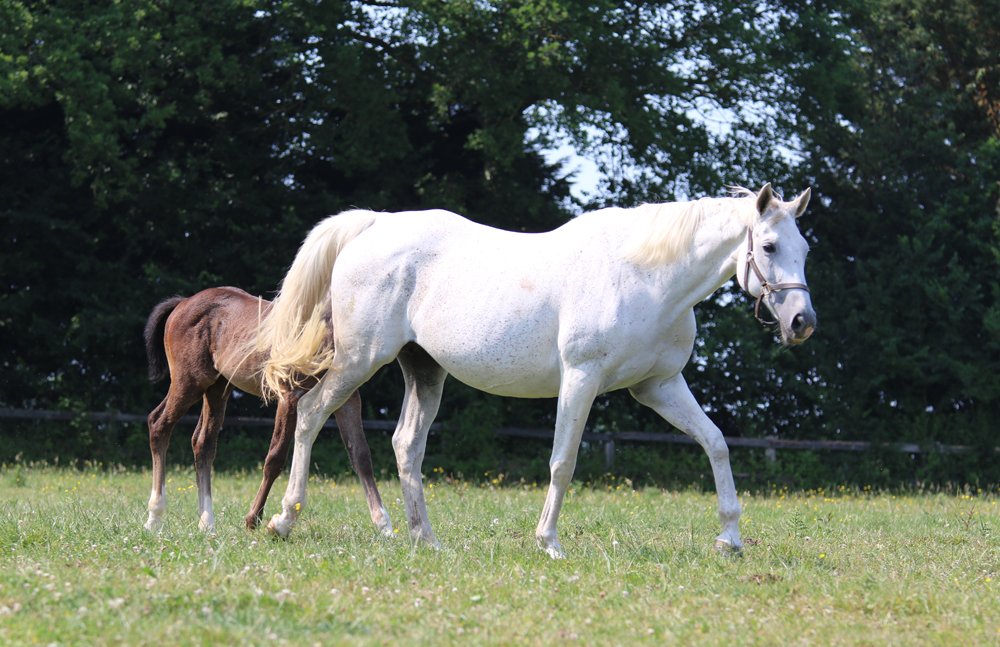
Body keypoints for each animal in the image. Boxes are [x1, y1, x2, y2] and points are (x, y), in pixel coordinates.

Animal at [142, 286, 392, 535]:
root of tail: (183, 302)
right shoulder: (289, 396)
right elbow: (275, 457)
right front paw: (253, 518)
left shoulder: (348, 399)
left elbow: (361, 456)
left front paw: (384, 525)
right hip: (190, 382)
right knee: (158, 424)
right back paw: (154, 517)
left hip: (217, 387)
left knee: (203, 443)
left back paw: (207, 523)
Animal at [255, 183, 815, 557]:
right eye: (768, 246)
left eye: (804, 249)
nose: (801, 322)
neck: (645, 276)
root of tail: (373, 223)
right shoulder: (582, 380)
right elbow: (562, 462)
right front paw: (549, 542)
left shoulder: (658, 387)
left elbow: (716, 443)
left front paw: (730, 537)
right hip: (359, 360)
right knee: (310, 415)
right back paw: (283, 521)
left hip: (425, 371)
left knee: (406, 445)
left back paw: (424, 539)